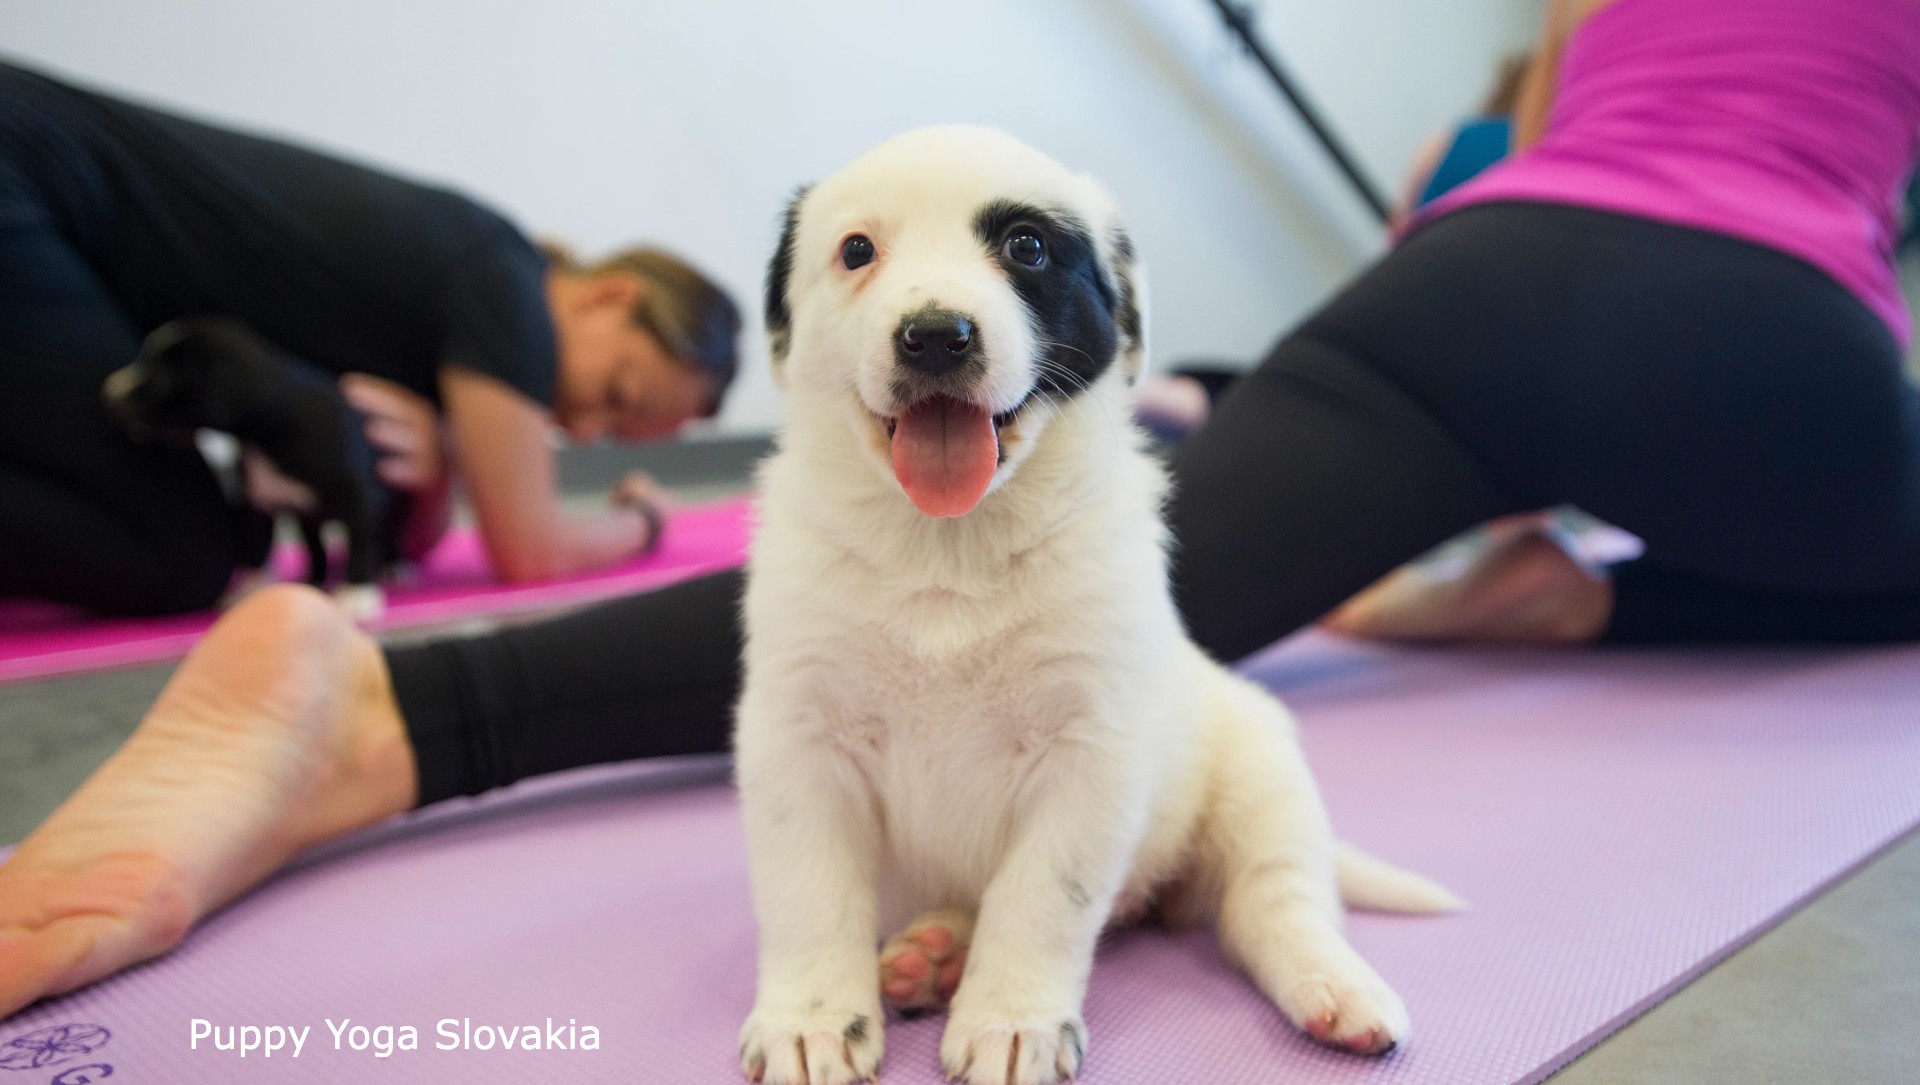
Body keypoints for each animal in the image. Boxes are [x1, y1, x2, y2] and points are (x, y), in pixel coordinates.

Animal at [102, 314, 405, 618]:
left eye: (160, 377)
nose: (110, 391)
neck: (272, 428)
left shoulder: (356, 493)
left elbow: (360, 542)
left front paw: (357, 594)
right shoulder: (259, 498)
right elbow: (255, 543)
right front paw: (249, 587)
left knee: (384, 532)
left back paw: (390, 565)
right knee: (313, 541)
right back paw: (313, 578)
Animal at [733, 128, 1451, 1083]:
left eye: (1027, 247)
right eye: (857, 251)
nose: (935, 337)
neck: (947, 541)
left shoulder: (1090, 749)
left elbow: (1042, 896)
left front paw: (1011, 1020)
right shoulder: (797, 737)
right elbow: (807, 891)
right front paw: (810, 1018)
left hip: (1261, 767)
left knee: (1272, 903)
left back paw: (1337, 988)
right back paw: (936, 952)